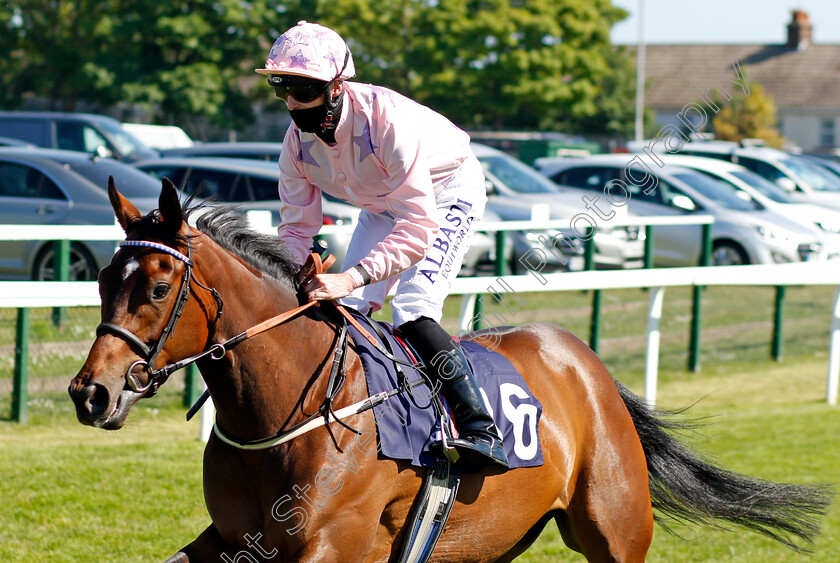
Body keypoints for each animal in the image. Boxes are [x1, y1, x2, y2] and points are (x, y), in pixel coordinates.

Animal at [69, 178, 832, 560]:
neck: (288, 411)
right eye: (103, 279)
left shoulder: (334, 544)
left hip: (615, 530)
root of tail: (586, 363)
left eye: (158, 287)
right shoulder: (232, 541)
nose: (89, 392)